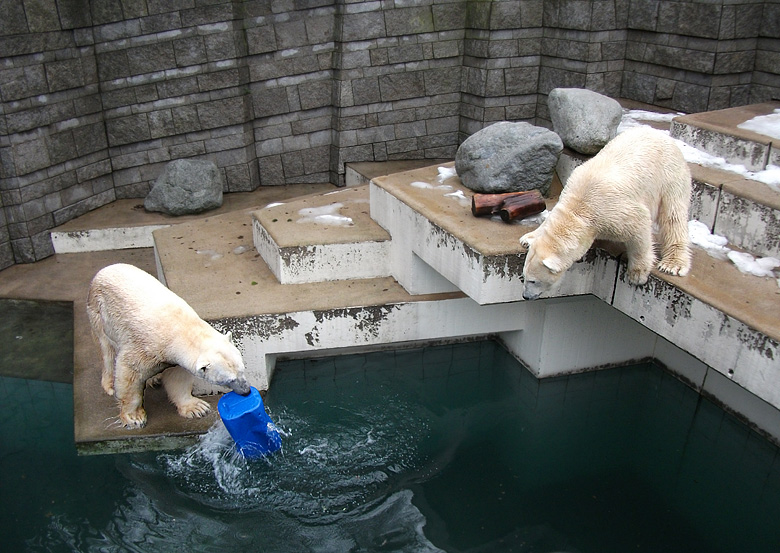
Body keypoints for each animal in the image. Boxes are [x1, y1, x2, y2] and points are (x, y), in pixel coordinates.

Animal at [87, 264, 250, 426]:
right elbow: (129, 375)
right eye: (229, 379)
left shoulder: (173, 358)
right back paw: (109, 384)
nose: (246, 391)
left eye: (242, 370)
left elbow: (178, 378)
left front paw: (196, 408)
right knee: (107, 352)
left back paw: (154, 379)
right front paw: (135, 417)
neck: (180, 327)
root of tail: (105, 269)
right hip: (100, 314)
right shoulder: (143, 348)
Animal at [520, 125, 692, 300]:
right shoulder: (569, 192)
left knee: (673, 214)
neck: (582, 208)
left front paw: (637, 274)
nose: (525, 296)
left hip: (669, 174)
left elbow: (640, 228)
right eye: (523, 277)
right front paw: (528, 239)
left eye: (533, 281)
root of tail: (661, 134)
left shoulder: (616, 212)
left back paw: (673, 264)